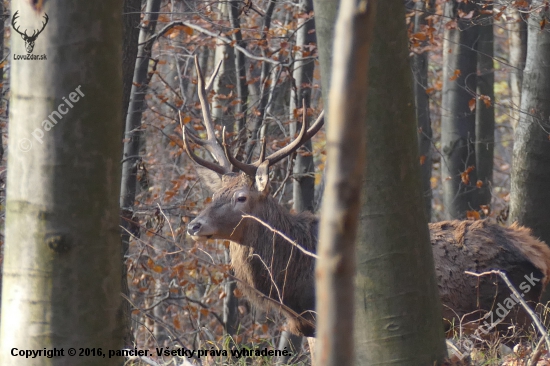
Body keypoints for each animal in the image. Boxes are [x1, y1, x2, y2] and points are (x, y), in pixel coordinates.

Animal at [184, 57, 550, 340]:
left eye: (241, 197)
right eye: (214, 193)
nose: (194, 225)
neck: (289, 284)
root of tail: (538, 251)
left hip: (507, 316)